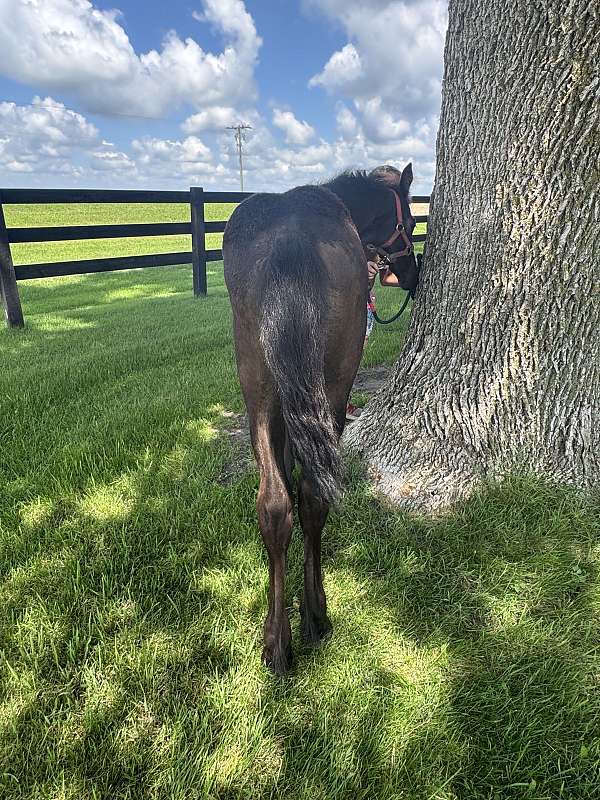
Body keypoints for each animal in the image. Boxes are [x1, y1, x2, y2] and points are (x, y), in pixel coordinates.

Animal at [222, 164, 420, 674]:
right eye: (410, 222)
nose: (413, 274)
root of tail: (290, 245)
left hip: (257, 383)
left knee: (276, 504)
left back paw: (279, 640)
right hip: (335, 380)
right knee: (312, 496)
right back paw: (315, 615)